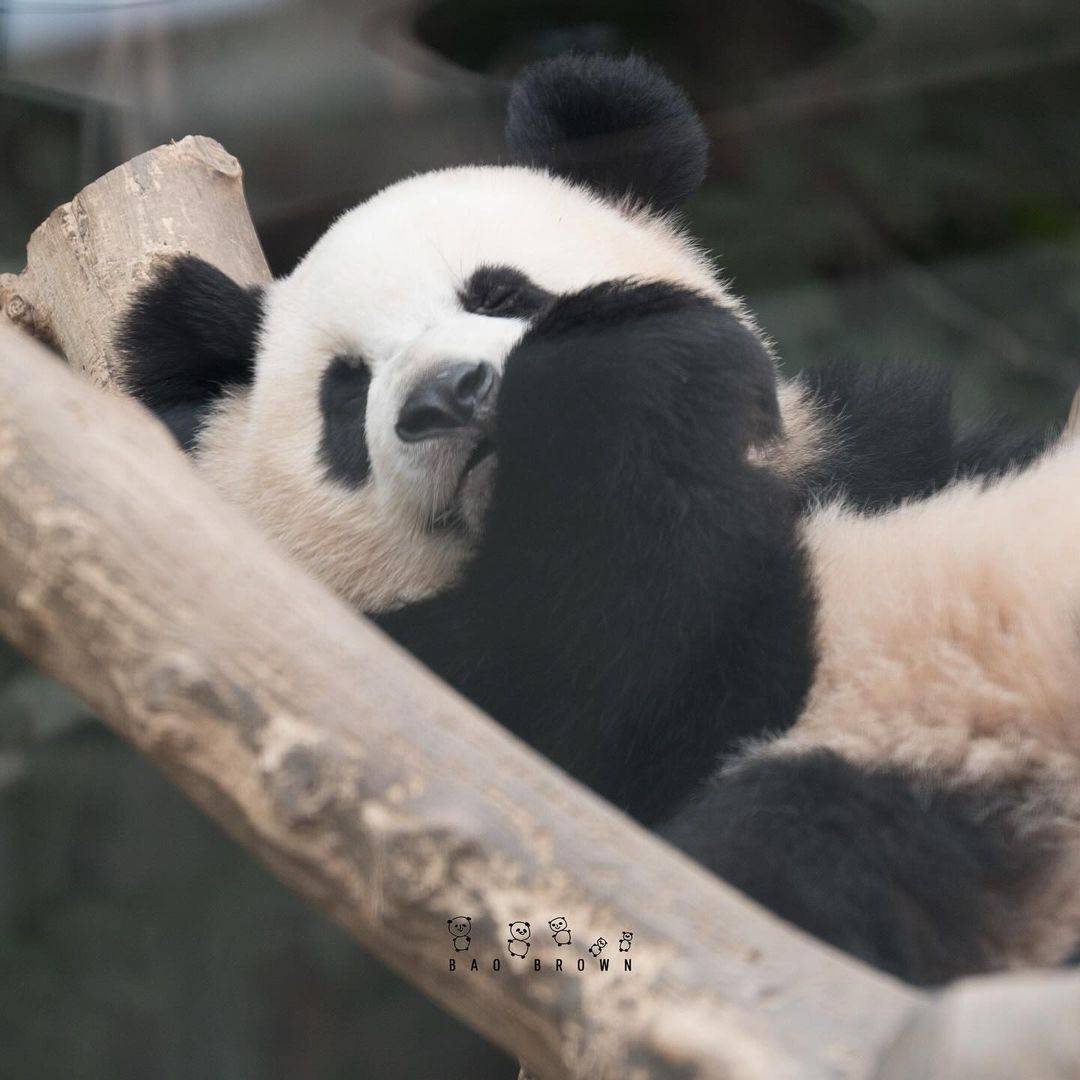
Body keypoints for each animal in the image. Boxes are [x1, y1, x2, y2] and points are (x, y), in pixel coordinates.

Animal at [113, 52, 1075, 989]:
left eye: (501, 292)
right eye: (346, 395)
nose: (447, 397)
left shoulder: (881, 454)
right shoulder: (415, 698)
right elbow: (626, 676)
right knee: (806, 850)